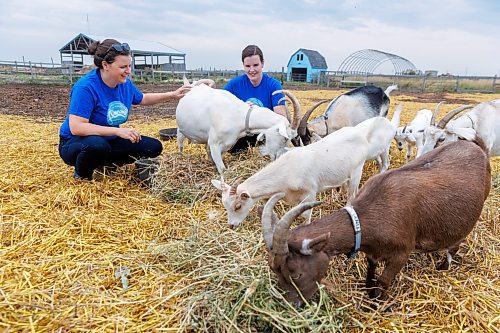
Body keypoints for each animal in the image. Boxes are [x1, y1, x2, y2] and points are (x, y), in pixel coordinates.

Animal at [262, 138, 492, 306]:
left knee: (456, 243)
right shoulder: (372, 251)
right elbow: (370, 272)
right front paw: (369, 294)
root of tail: (477, 147)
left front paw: (378, 303)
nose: (291, 305)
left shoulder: (402, 252)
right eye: (276, 272)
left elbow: (384, 280)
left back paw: (443, 266)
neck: (367, 216)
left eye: (297, 273)